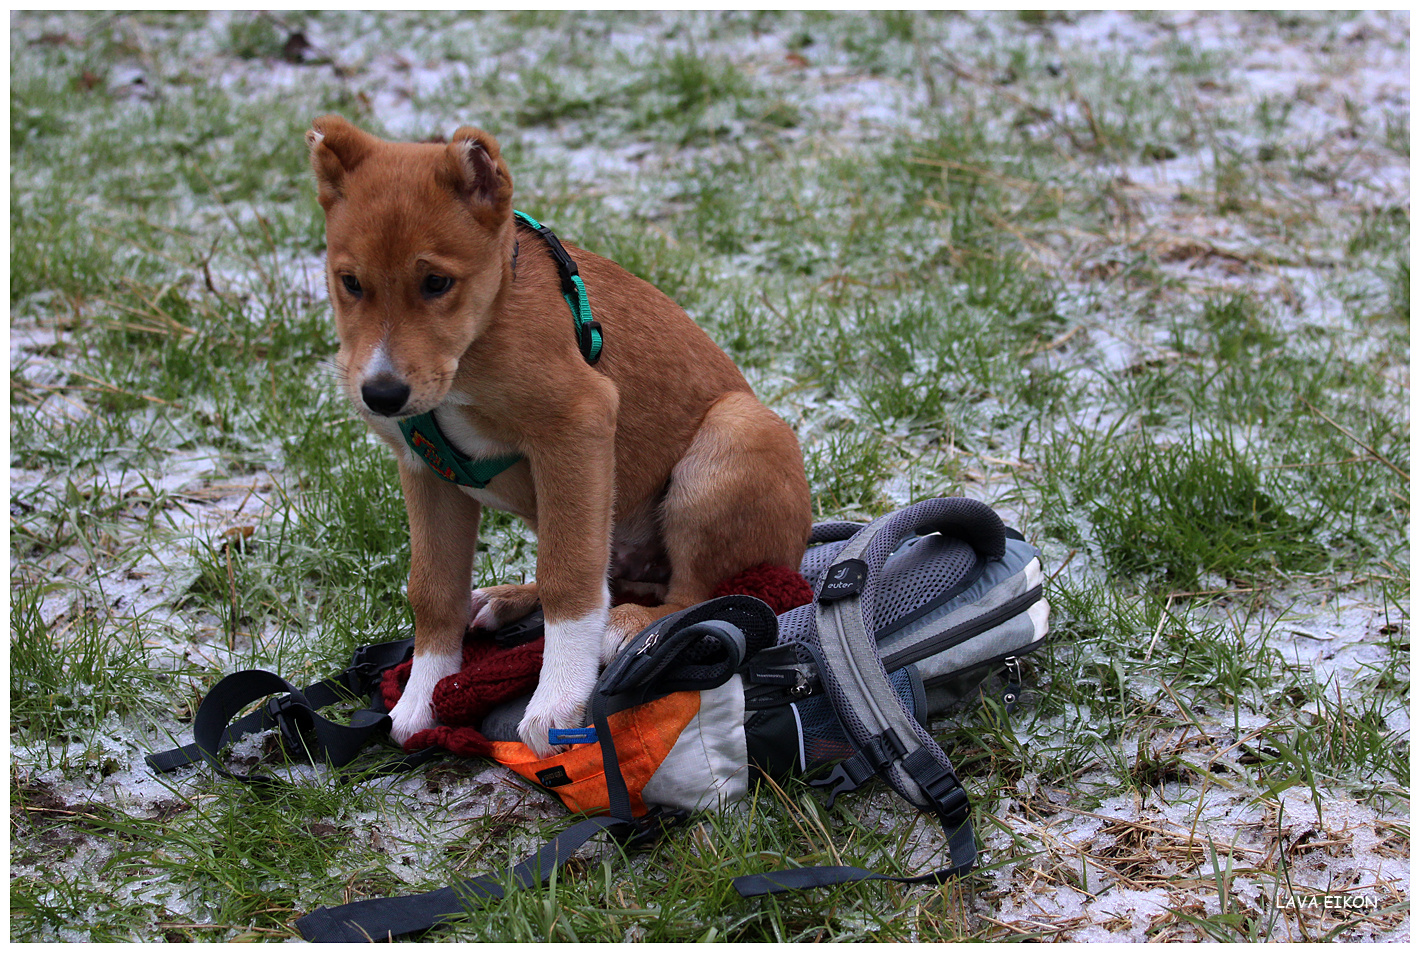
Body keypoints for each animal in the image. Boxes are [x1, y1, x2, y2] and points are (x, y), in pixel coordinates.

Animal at [306, 119, 812, 755]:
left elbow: (568, 577)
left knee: (700, 590)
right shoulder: (424, 469)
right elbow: (433, 588)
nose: (381, 395)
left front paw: (558, 702)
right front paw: (422, 698)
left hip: (732, 439)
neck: (482, 333)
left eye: (437, 282)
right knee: (617, 578)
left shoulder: (575, 427)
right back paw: (506, 599)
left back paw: (634, 625)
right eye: (350, 282)